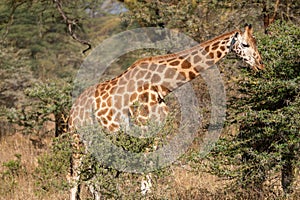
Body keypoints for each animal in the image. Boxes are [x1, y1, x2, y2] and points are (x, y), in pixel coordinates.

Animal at [67, 24, 262, 199]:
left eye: (255, 42)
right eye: (245, 44)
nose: (260, 65)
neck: (162, 86)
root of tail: (71, 112)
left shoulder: (156, 130)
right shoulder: (142, 127)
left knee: (91, 176)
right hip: (78, 140)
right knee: (74, 176)